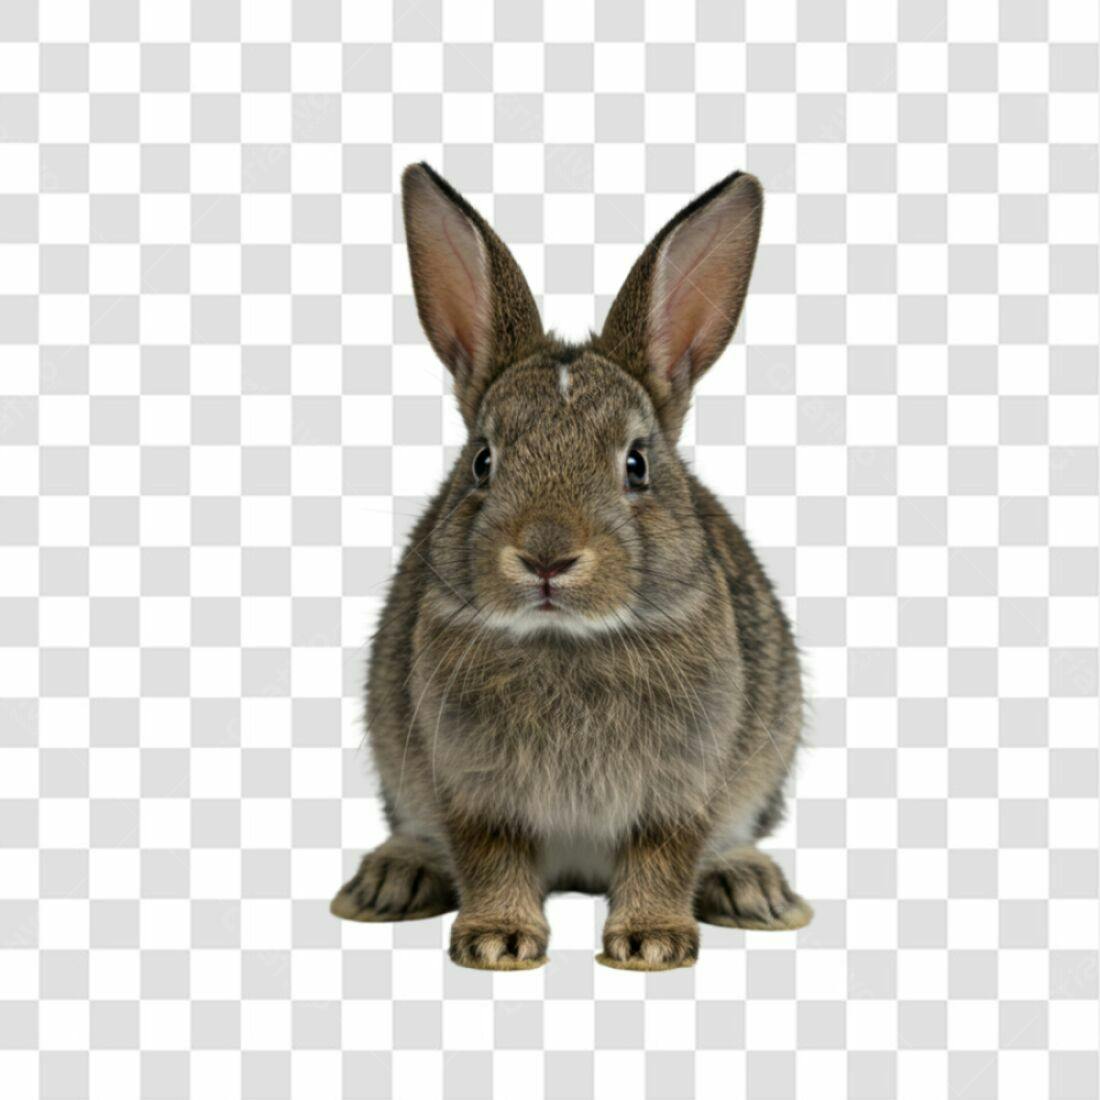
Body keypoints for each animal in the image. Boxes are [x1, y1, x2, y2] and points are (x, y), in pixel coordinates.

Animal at [330, 162, 812, 971]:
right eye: (482, 461)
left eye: (637, 464)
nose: (547, 556)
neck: (566, 640)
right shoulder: (473, 787)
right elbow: (490, 856)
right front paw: (497, 942)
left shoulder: (680, 785)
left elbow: (663, 855)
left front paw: (650, 944)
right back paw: (391, 880)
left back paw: (753, 889)